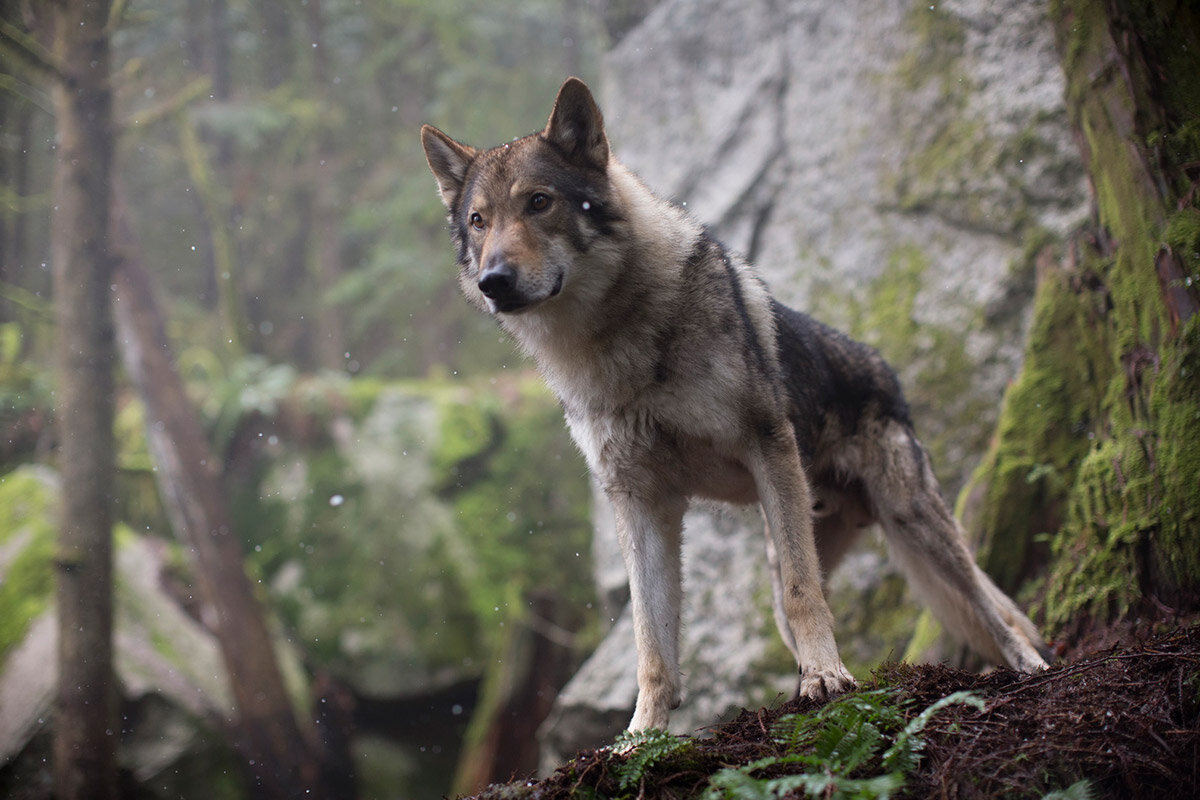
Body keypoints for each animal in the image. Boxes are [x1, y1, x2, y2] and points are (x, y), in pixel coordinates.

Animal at [424, 77, 1051, 734]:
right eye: (479, 221)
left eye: (539, 202)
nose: (494, 280)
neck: (616, 347)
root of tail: (882, 366)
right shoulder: (639, 501)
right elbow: (651, 646)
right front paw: (639, 737)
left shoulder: (765, 444)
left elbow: (806, 597)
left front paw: (828, 681)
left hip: (911, 520)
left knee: (985, 606)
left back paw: (1025, 665)